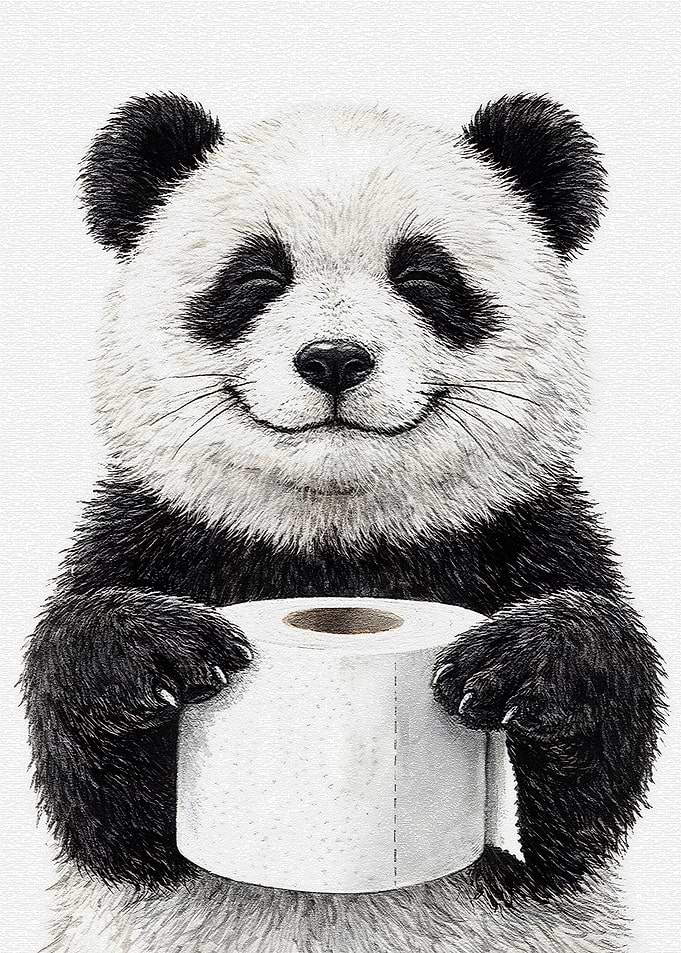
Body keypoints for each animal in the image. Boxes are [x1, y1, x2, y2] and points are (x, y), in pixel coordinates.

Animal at [23, 92, 664, 953]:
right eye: (257, 276)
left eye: (423, 276)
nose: (333, 359)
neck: (337, 536)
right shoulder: (162, 531)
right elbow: (114, 824)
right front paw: (145, 654)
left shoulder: (523, 534)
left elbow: (571, 829)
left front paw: (535, 667)